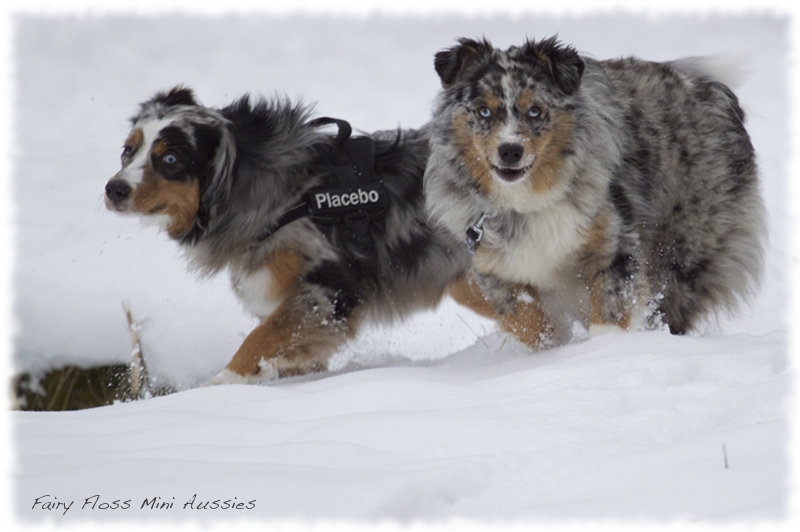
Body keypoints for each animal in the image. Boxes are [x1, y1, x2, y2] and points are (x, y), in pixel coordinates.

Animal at [103, 88, 472, 386]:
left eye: (170, 158)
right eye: (127, 150)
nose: (114, 189)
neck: (284, 196)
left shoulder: (330, 291)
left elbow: (261, 337)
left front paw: (219, 386)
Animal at [422, 35, 764, 348]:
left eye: (535, 111)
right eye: (483, 111)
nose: (510, 151)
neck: (529, 201)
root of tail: (714, 90)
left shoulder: (614, 243)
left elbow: (609, 310)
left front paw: (600, 352)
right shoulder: (497, 269)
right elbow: (530, 323)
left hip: (685, 251)